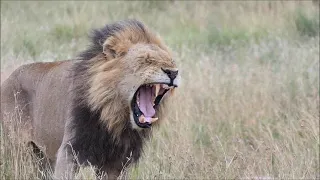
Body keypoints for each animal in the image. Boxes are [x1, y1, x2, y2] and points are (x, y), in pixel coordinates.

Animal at [0, 19, 180, 180]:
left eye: (171, 61)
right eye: (146, 60)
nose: (173, 72)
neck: (113, 119)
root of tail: (8, 79)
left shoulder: (118, 163)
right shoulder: (69, 153)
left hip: (43, 156)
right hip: (18, 150)